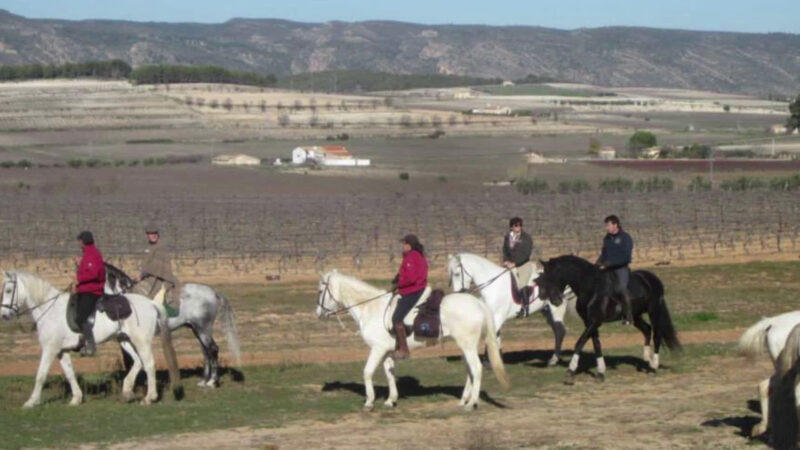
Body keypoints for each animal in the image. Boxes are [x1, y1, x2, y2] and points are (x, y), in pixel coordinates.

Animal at [1, 270, 181, 407]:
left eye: (8, 290)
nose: (4, 315)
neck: (50, 309)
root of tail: (151, 303)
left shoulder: (50, 349)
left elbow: (41, 374)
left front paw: (31, 402)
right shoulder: (61, 351)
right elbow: (70, 374)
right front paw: (76, 399)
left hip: (141, 341)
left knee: (149, 364)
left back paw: (149, 397)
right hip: (124, 340)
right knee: (138, 362)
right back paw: (127, 392)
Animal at [104, 263, 241, 387]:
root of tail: (213, 293)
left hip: (203, 329)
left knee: (212, 349)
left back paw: (212, 381)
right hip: (197, 329)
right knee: (205, 351)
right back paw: (204, 381)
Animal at [316, 269, 510, 411]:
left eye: (320, 291)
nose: (318, 313)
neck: (371, 308)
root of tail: (477, 303)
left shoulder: (377, 349)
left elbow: (367, 372)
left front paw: (369, 402)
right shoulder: (387, 352)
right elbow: (389, 373)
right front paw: (391, 400)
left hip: (468, 345)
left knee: (476, 368)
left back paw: (471, 403)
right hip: (465, 346)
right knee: (470, 370)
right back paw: (464, 400)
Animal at [447, 253, 576, 366]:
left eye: (457, 274)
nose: (458, 293)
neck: (493, 286)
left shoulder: (498, 316)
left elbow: (491, 338)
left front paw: (488, 362)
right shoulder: (492, 317)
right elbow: (496, 337)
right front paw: (497, 358)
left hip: (556, 308)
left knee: (559, 331)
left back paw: (553, 360)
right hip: (546, 310)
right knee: (558, 330)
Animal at [536, 255, 681, 384]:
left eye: (553, 276)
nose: (555, 301)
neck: (591, 287)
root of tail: (651, 278)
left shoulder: (595, 321)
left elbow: (579, 343)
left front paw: (570, 372)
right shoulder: (589, 322)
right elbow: (596, 344)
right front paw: (600, 372)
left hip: (654, 311)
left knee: (657, 334)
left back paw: (654, 365)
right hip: (636, 316)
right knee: (647, 329)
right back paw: (647, 358)